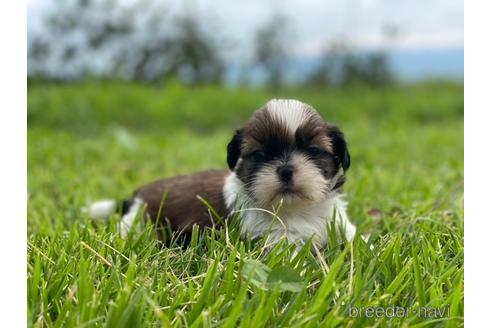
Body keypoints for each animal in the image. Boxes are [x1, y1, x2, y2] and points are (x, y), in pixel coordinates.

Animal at [88, 98, 356, 247]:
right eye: (260, 154)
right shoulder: (273, 239)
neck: (297, 209)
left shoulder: (339, 224)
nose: (286, 169)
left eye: (313, 150)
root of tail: (137, 195)